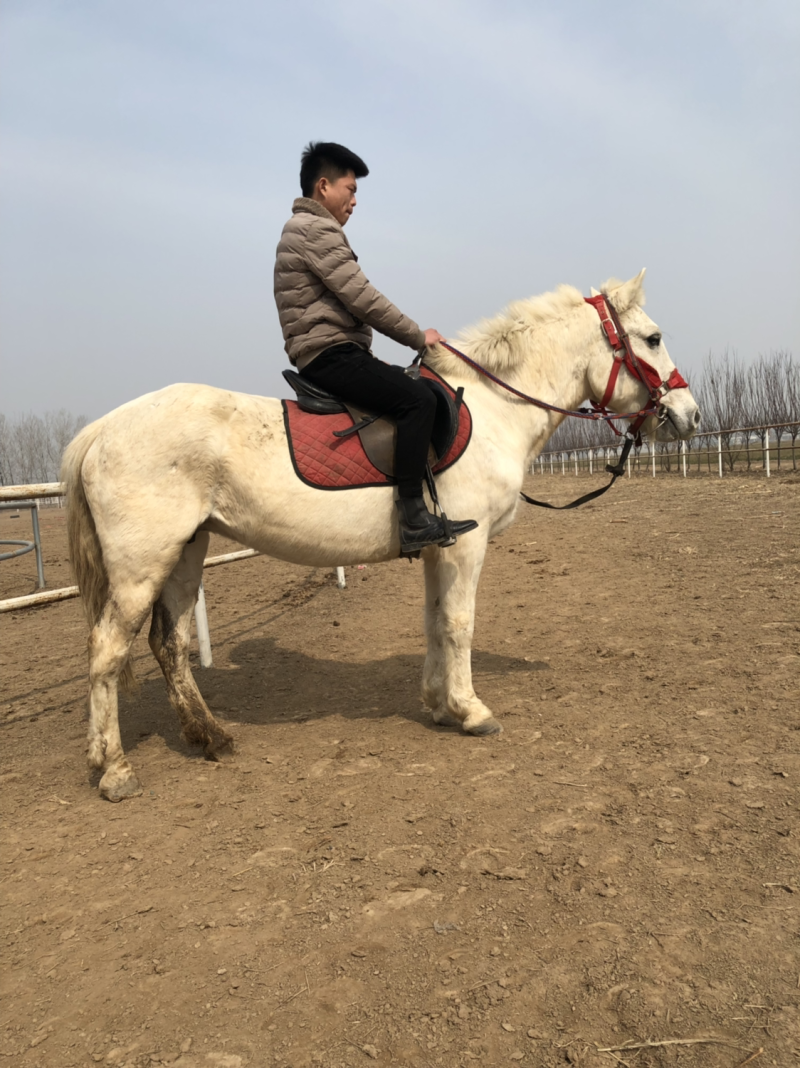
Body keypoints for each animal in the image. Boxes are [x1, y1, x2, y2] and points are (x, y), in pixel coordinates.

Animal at [62, 269, 700, 801]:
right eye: (652, 338)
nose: (690, 415)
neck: (494, 408)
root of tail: (101, 429)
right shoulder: (468, 544)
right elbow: (459, 623)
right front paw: (472, 710)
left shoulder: (440, 546)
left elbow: (434, 621)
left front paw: (439, 706)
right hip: (142, 564)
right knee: (107, 650)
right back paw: (115, 770)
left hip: (185, 553)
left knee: (168, 644)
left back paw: (208, 737)